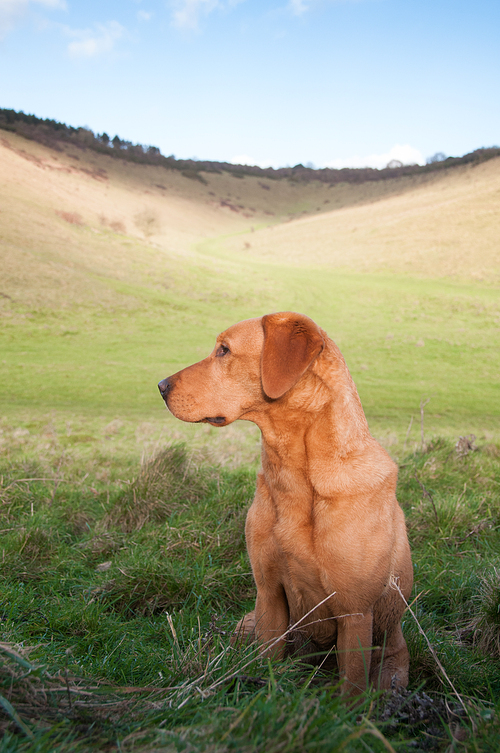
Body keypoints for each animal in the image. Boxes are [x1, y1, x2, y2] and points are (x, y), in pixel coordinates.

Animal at [158, 310, 412, 692]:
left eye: (224, 350)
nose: (161, 386)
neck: (296, 477)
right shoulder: (269, 593)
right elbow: (267, 661)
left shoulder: (355, 612)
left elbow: (352, 686)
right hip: (247, 621)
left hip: (391, 661)